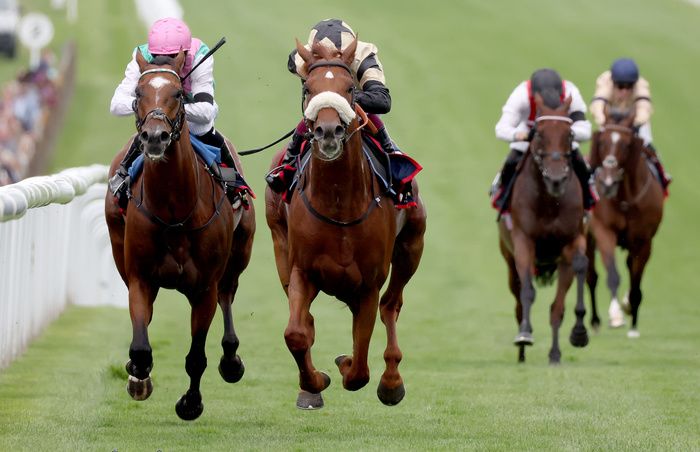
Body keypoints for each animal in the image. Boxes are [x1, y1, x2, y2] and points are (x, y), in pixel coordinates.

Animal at [102, 51, 256, 422]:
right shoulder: (141, 277)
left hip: (239, 255)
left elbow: (196, 357)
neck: (174, 211)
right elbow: (141, 347)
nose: (155, 137)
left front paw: (191, 403)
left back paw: (231, 360)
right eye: (138, 92)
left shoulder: (204, 288)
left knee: (227, 295)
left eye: (177, 94)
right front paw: (138, 376)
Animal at [264, 39, 424, 410]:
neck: (338, 203)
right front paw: (314, 383)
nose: (327, 132)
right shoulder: (302, 270)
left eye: (350, 88)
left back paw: (391, 381)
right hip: (279, 244)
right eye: (308, 89)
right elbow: (296, 333)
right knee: (304, 319)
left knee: (390, 305)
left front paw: (346, 364)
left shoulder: (368, 283)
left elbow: (359, 370)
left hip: (412, 246)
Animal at [498, 94, 592, 364]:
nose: (556, 179)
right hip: (509, 259)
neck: (550, 202)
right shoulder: (523, 241)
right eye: (538, 133)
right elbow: (527, 292)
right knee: (519, 300)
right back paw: (521, 352)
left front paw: (578, 334)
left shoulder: (572, 241)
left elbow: (578, 267)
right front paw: (525, 334)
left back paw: (555, 353)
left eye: (569, 134)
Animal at [588, 108, 664, 336]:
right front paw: (615, 316)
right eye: (602, 141)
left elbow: (636, 283)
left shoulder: (644, 240)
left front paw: (633, 324)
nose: (607, 182)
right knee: (591, 276)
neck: (625, 199)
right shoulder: (604, 230)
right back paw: (595, 321)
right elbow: (612, 275)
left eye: (627, 144)